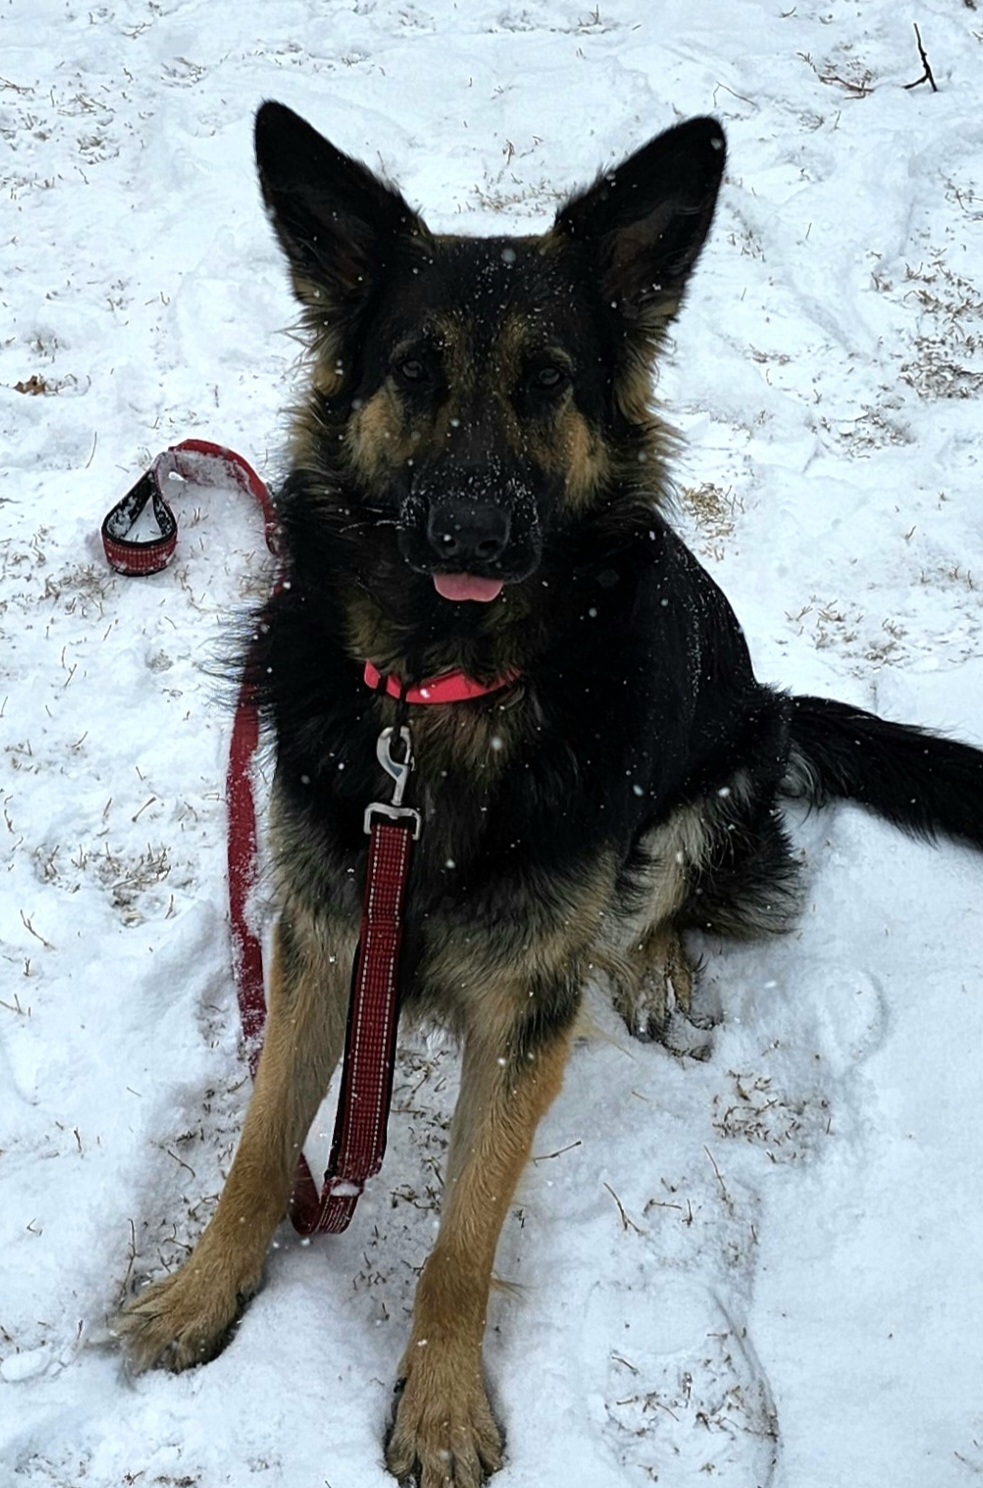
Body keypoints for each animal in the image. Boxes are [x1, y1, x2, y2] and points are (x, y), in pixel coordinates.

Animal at [118, 101, 983, 1487]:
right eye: (414, 372)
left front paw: (440, 1402)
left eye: (545, 382)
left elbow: (464, 1235)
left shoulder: (527, 1006)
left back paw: (658, 968)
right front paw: (201, 1295)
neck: (441, 698)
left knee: (674, 892)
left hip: (714, 777)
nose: (471, 533)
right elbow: (257, 1153)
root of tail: (775, 703)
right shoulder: (324, 934)